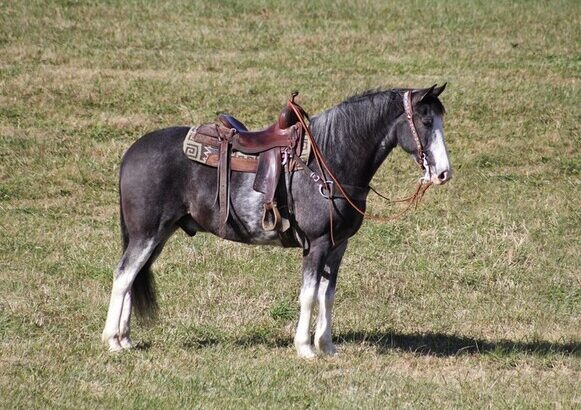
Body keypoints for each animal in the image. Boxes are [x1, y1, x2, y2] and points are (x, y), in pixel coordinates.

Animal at [102, 84, 450, 358]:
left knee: (133, 278)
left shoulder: (338, 246)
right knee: (123, 277)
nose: (443, 173)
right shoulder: (317, 244)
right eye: (426, 120)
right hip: (146, 234)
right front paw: (305, 348)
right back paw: (112, 341)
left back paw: (126, 338)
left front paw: (327, 346)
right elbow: (308, 294)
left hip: (158, 236)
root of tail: (132, 152)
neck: (329, 161)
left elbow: (327, 295)